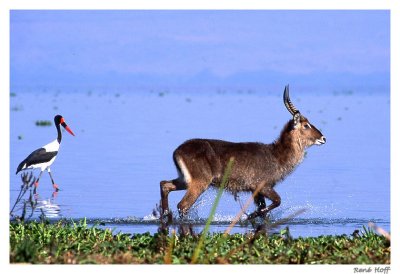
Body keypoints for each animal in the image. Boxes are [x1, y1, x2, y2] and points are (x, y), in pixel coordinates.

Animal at [159, 85, 324, 220]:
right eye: (306, 125)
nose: (323, 138)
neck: (277, 155)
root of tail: (177, 150)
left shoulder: (256, 191)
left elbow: (264, 211)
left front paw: (254, 216)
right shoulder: (262, 186)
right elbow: (277, 201)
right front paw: (250, 215)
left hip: (185, 180)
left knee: (164, 185)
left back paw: (165, 215)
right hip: (199, 182)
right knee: (182, 205)